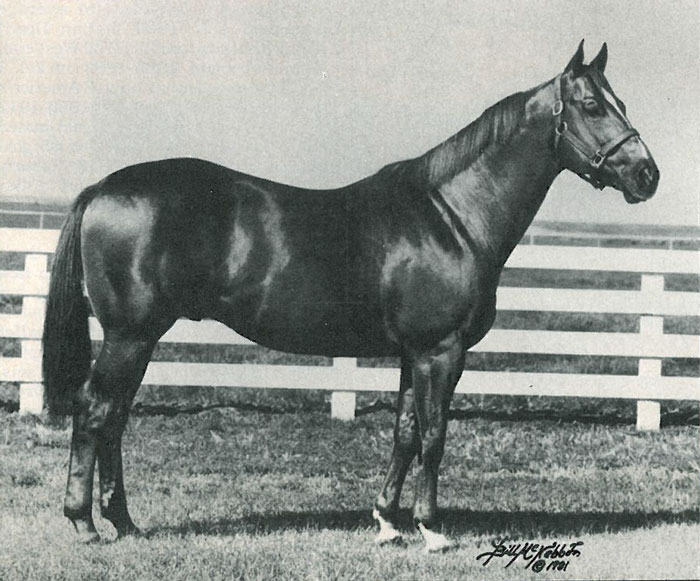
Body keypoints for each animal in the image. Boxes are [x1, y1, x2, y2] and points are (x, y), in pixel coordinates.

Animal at [42, 41, 658, 551]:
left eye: (622, 101)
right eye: (592, 105)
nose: (647, 176)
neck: (451, 217)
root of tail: (103, 188)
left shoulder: (415, 354)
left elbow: (405, 433)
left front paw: (387, 522)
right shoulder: (442, 351)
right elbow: (434, 435)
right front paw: (433, 531)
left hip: (141, 338)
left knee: (116, 418)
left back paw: (123, 522)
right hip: (129, 336)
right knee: (95, 410)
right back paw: (85, 524)